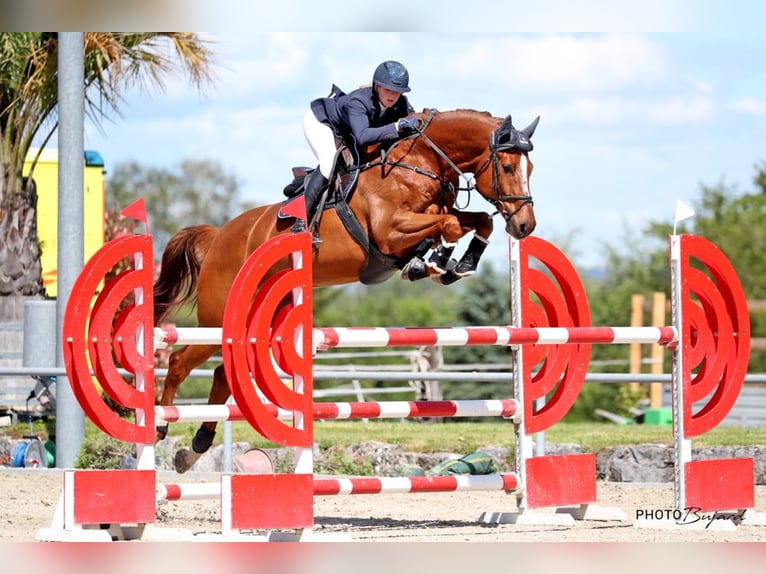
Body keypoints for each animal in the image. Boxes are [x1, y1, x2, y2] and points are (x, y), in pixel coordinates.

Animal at [153, 108, 539, 472]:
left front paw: (456, 263)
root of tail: (218, 236)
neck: (421, 163)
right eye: (507, 166)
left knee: (223, 373)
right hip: (218, 319)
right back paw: (161, 427)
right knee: (179, 362)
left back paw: (195, 447)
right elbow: (449, 224)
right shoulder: (390, 230)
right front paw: (435, 262)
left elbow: (477, 221)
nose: (525, 226)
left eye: (530, 168)